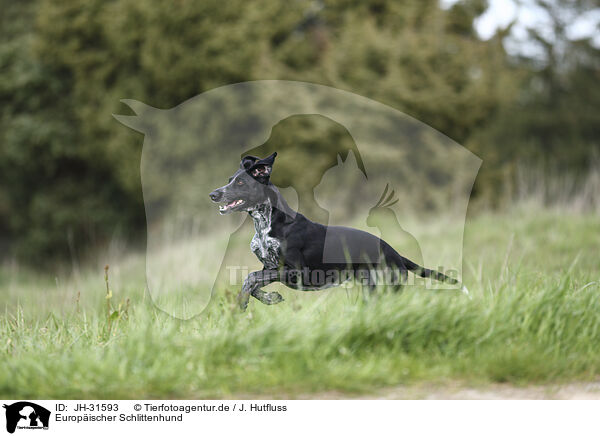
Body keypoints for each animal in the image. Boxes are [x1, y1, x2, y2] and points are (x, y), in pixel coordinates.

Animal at [209, 153, 466, 310]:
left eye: (240, 183)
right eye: (230, 179)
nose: (213, 194)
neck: (269, 223)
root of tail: (397, 255)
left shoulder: (298, 272)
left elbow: (250, 278)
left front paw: (243, 303)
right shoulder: (269, 268)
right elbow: (254, 283)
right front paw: (269, 298)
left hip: (383, 290)